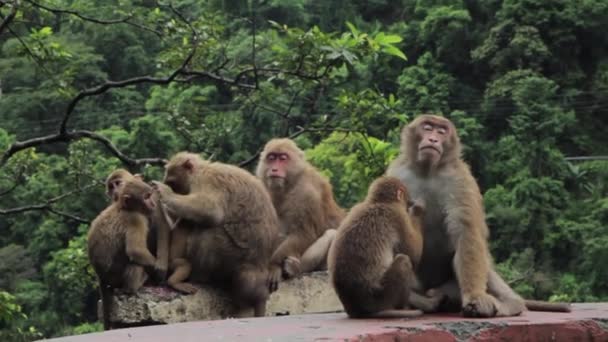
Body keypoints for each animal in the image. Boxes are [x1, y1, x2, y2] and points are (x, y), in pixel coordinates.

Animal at [86, 178, 162, 330]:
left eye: (150, 195)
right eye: (146, 197)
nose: (153, 203)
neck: (123, 207)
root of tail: (100, 276)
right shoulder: (136, 219)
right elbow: (135, 251)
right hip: (116, 278)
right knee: (135, 264)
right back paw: (131, 289)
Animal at [153, 153, 280, 318]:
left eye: (172, 183)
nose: (175, 191)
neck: (202, 170)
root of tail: (258, 267)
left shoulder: (207, 180)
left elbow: (211, 211)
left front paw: (165, 193)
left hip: (231, 255)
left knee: (208, 232)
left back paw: (198, 277)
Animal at [254, 139, 344, 292]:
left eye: (283, 158)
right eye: (271, 158)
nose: (274, 169)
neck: (290, 183)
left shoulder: (308, 192)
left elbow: (304, 233)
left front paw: (273, 265)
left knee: (331, 234)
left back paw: (295, 268)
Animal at [328, 178, 442, 320]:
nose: (410, 203)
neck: (378, 202)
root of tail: (357, 308)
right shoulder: (399, 216)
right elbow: (413, 254)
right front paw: (417, 210)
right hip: (381, 295)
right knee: (404, 260)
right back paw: (404, 307)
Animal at [384, 115, 568, 318]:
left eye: (441, 131)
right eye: (427, 127)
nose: (433, 139)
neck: (427, 171)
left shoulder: (459, 178)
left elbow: (466, 231)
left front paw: (476, 297)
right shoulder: (396, 173)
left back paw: (510, 303)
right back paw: (426, 303)